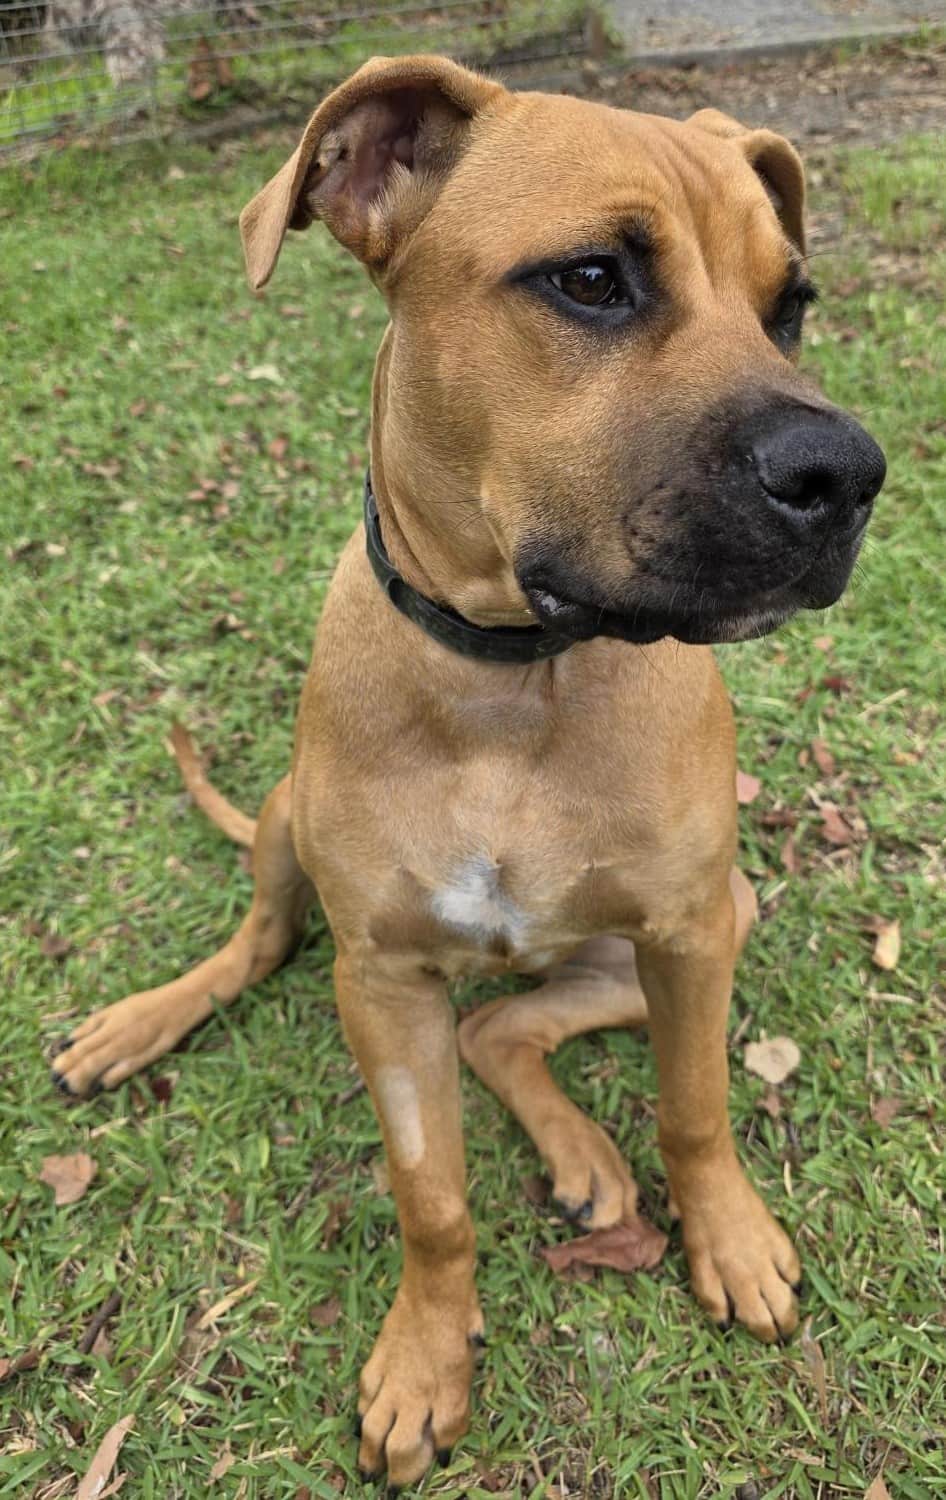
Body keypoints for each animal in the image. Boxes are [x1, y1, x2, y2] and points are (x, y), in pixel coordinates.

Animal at [50, 55, 886, 1486]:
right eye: (592, 278)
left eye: (791, 304)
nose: (847, 474)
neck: (516, 683)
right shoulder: (383, 984)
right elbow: (427, 1195)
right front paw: (425, 1358)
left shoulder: (687, 934)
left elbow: (698, 1109)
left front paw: (725, 1239)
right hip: (287, 824)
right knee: (267, 942)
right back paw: (145, 1019)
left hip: (717, 913)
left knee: (507, 1024)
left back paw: (586, 1159)